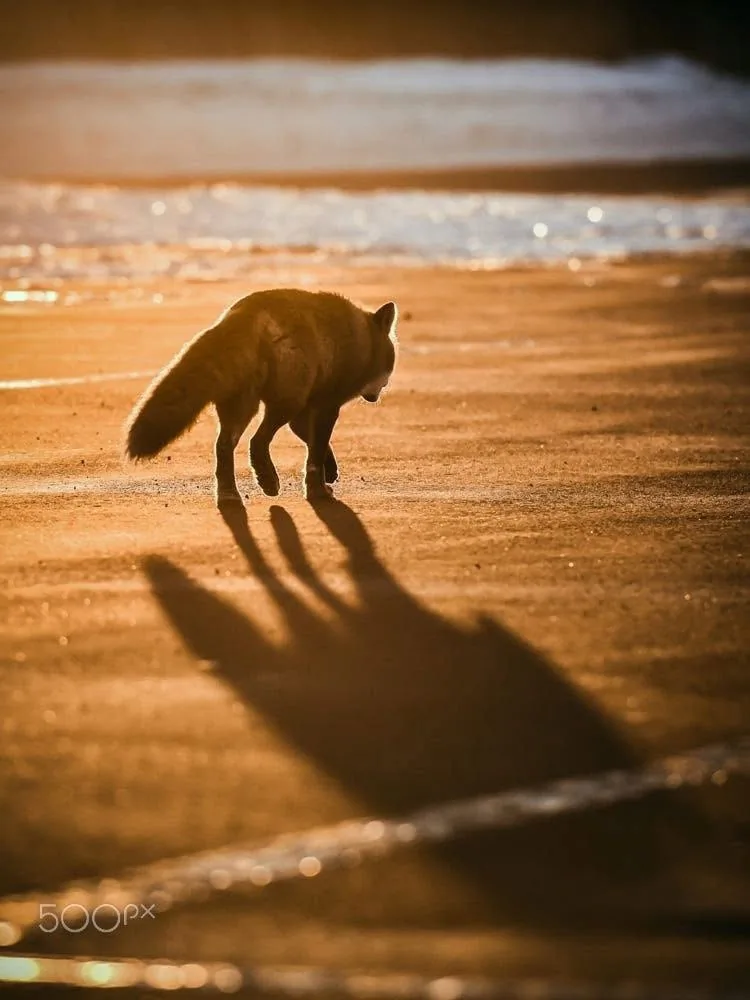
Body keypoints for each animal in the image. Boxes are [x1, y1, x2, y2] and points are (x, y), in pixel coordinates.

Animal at [125, 288, 398, 502]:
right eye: (389, 364)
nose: (379, 392)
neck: (361, 340)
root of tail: (243, 314)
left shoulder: (305, 411)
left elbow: (316, 447)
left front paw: (329, 472)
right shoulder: (325, 405)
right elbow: (316, 451)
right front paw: (317, 490)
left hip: (244, 406)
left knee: (224, 445)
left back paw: (229, 494)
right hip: (284, 403)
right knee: (257, 441)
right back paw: (267, 480)